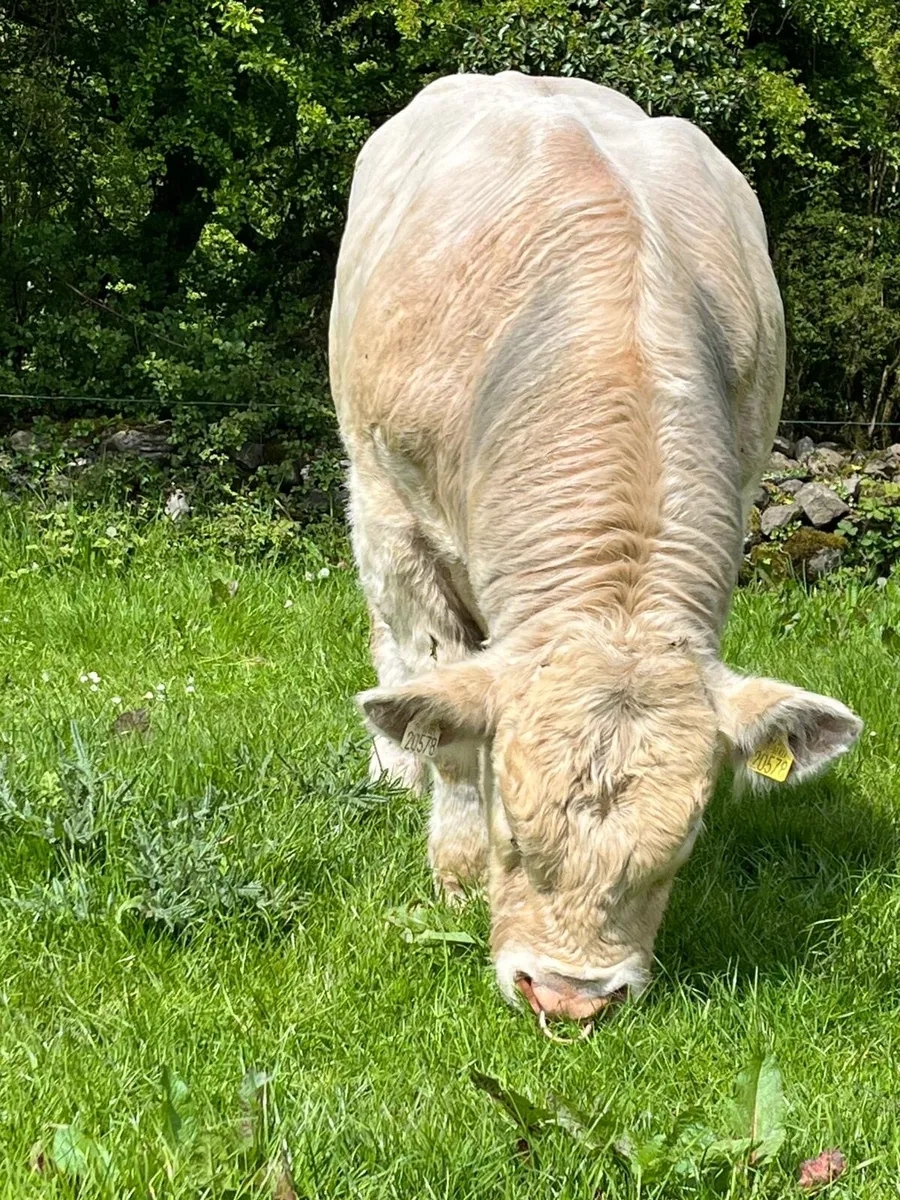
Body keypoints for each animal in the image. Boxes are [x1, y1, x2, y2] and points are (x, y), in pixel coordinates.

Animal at [329, 72, 862, 1026]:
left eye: (684, 843)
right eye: (511, 828)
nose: (569, 998)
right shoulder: (398, 514)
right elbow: (443, 717)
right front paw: (454, 874)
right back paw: (392, 769)